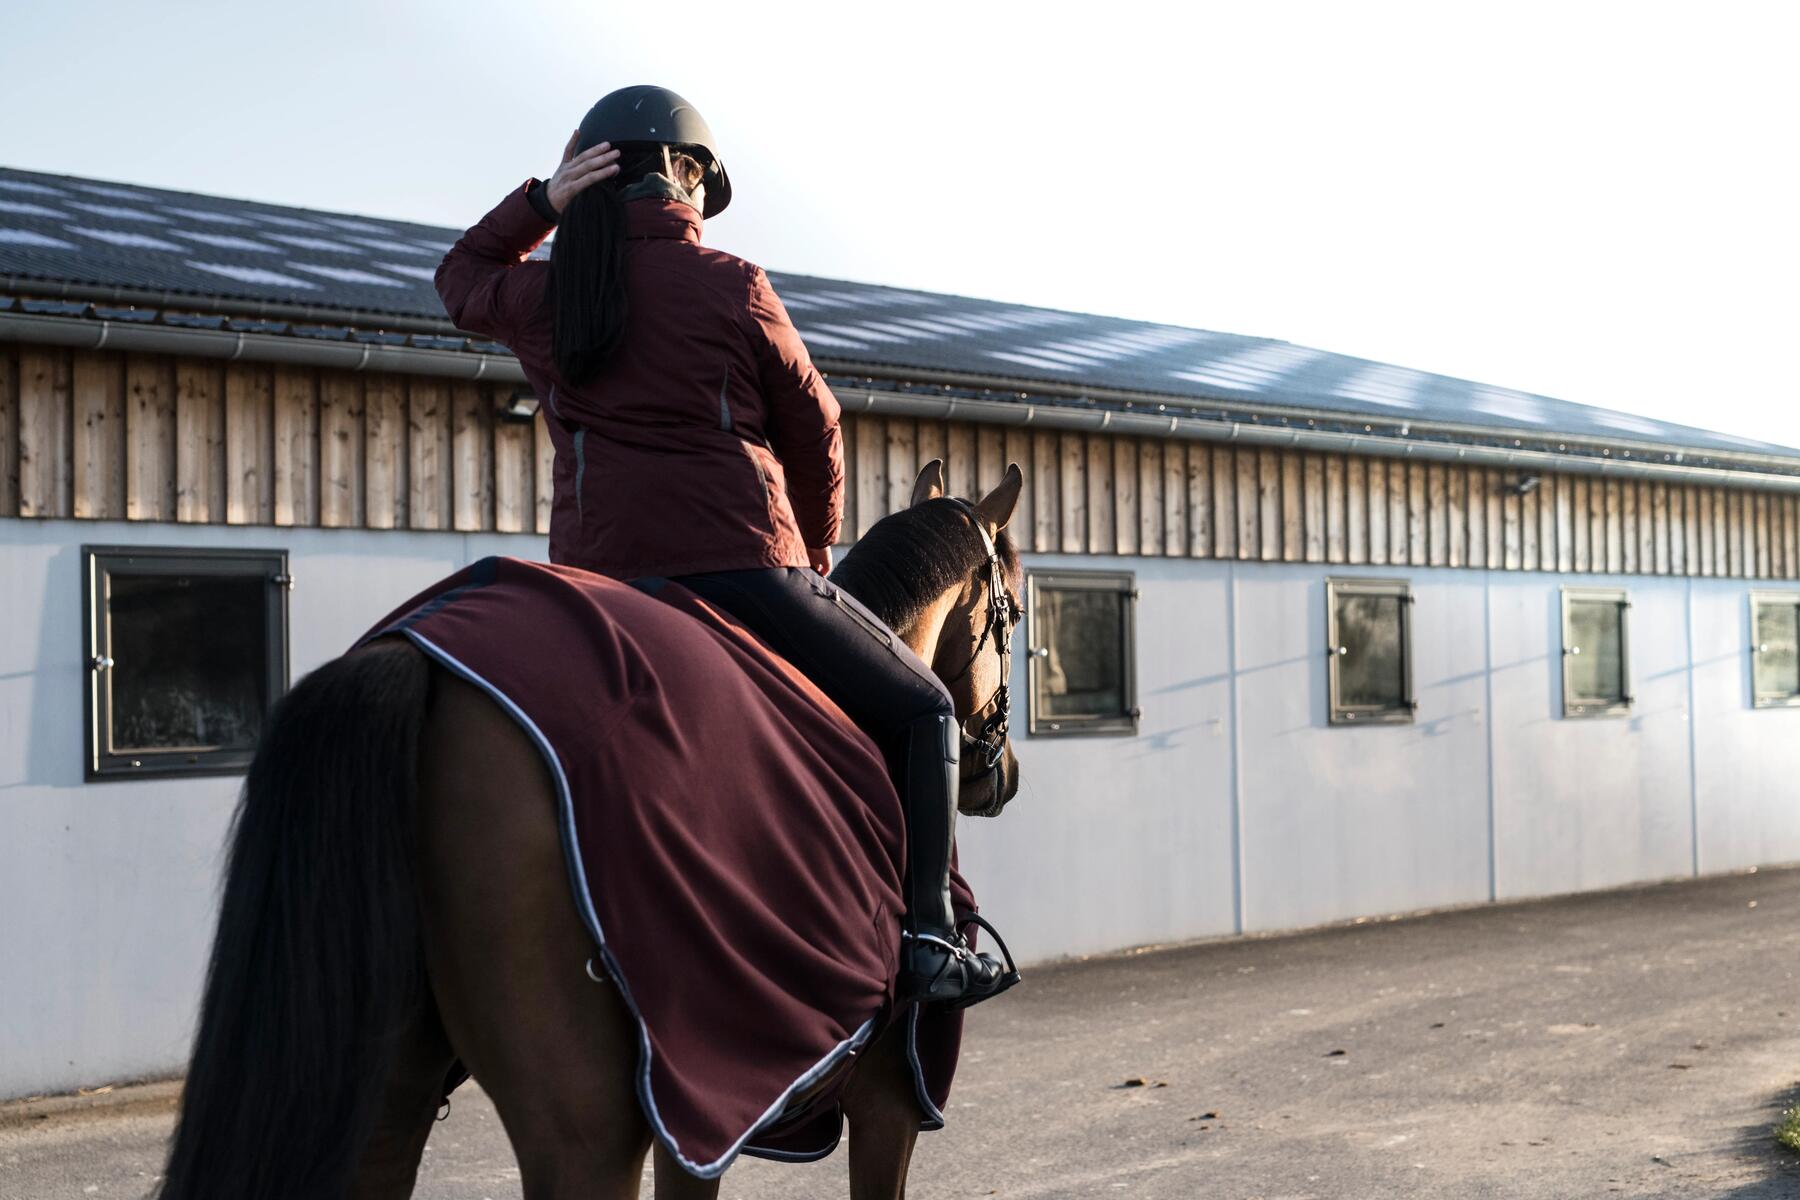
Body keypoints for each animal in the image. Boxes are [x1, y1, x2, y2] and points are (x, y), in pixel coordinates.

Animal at [154, 464, 1029, 1200]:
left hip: (389, 1093)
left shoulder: (706, 1121)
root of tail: (416, 656)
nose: (1004, 775)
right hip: (585, 1132)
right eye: (1015, 611)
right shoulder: (887, 1100)